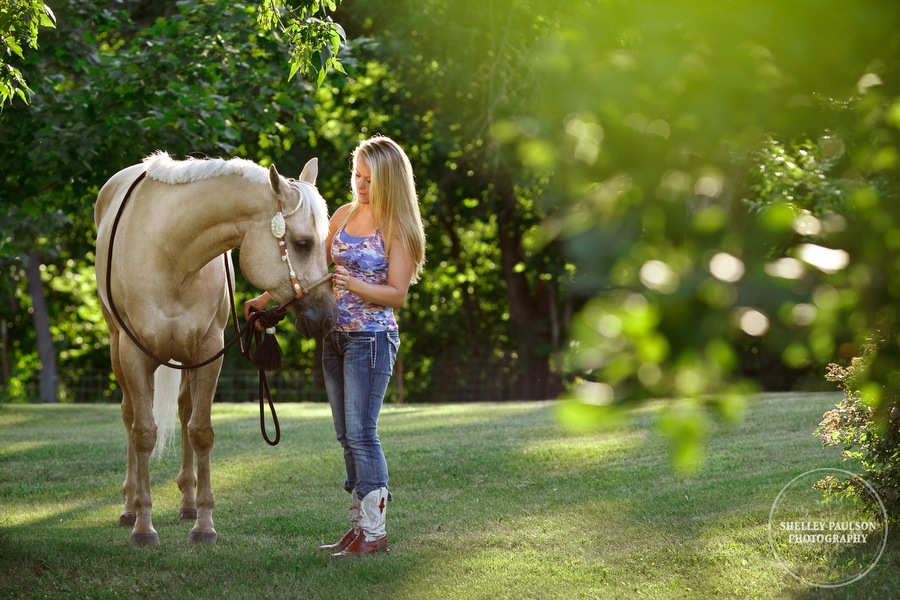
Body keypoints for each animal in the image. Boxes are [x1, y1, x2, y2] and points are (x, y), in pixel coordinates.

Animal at [94, 152, 338, 548]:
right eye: (302, 243)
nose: (328, 317)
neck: (170, 254)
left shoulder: (209, 351)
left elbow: (201, 431)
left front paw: (204, 524)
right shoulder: (134, 354)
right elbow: (144, 432)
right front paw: (143, 526)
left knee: (184, 413)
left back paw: (188, 503)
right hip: (119, 350)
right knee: (130, 417)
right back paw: (130, 507)